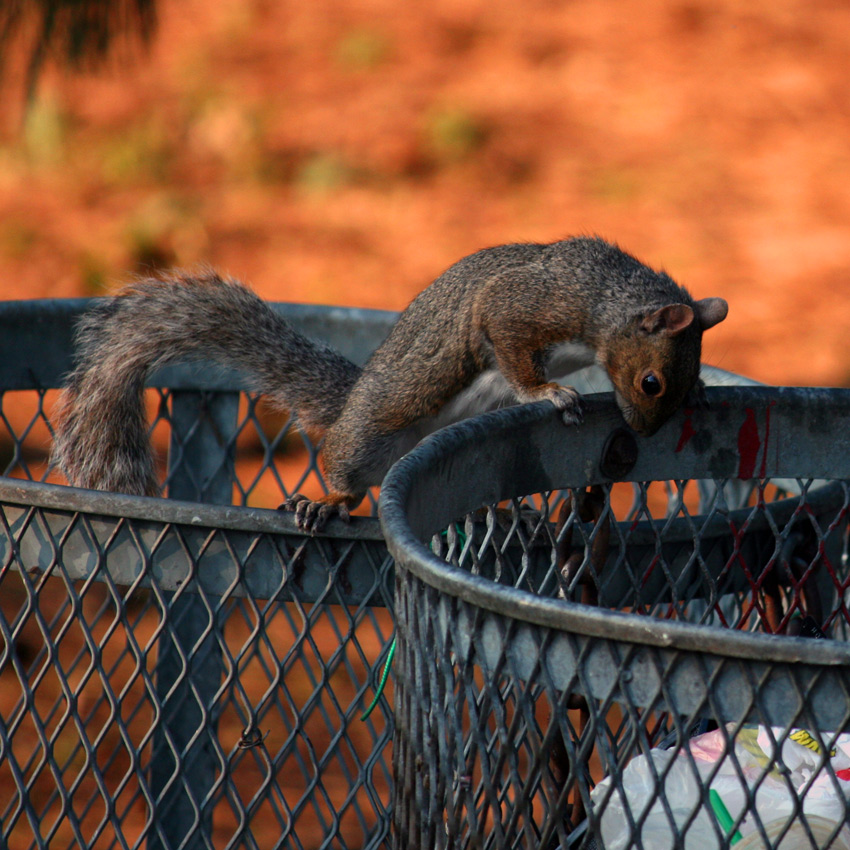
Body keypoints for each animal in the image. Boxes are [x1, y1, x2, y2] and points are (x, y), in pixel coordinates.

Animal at [53, 237, 724, 528]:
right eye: (651, 382)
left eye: (684, 381)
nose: (645, 432)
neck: (606, 300)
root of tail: (350, 400)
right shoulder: (524, 307)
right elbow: (511, 351)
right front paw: (548, 393)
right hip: (371, 434)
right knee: (347, 473)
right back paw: (326, 500)